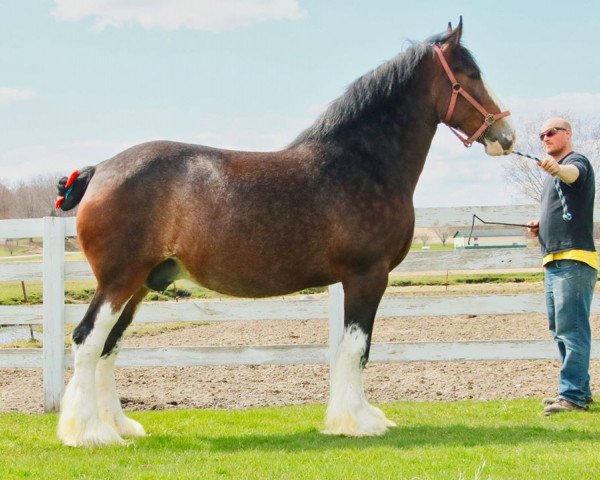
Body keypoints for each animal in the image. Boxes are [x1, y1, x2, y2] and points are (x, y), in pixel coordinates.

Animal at [54, 18, 516, 446]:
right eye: (471, 74)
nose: (506, 135)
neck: (362, 163)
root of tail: (100, 169)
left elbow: (352, 350)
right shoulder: (367, 276)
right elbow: (356, 348)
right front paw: (357, 422)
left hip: (136, 286)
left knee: (109, 347)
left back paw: (119, 426)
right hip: (118, 282)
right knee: (87, 340)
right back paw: (91, 433)